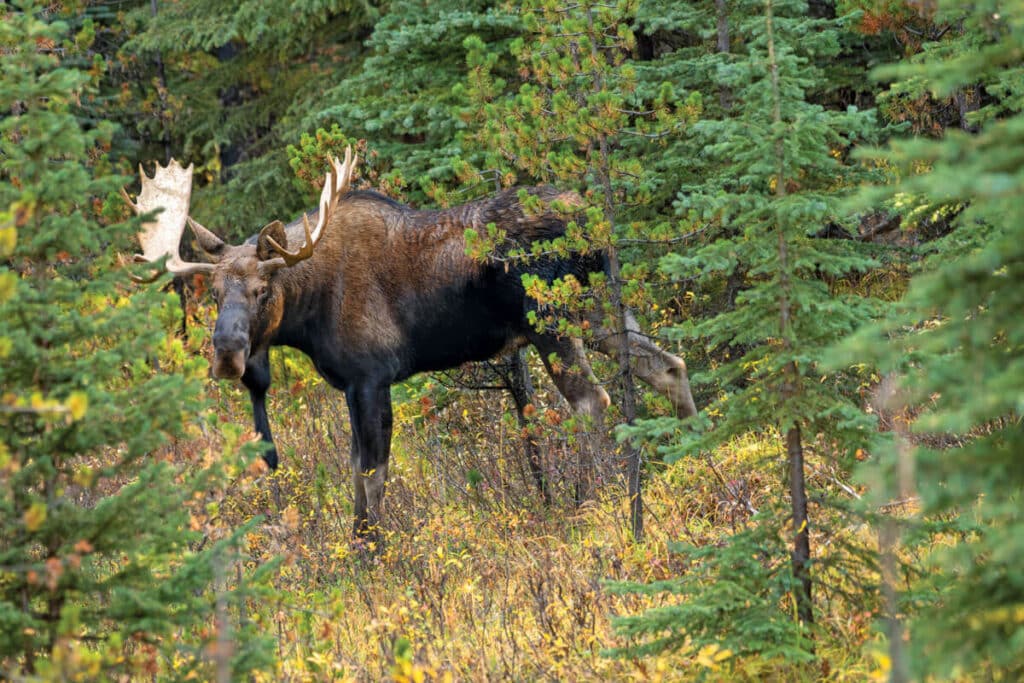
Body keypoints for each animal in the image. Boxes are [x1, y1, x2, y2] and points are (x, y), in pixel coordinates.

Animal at [119, 150, 696, 540]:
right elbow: (355, 470)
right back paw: (698, 449)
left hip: (551, 319)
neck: (308, 312)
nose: (226, 353)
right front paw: (357, 546)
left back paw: (586, 501)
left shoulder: (371, 376)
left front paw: (377, 550)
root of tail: (593, 217)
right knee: (668, 364)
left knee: (591, 400)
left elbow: (372, 473)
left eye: (262, 291)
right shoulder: (351, 385)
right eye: (215, 293)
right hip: (599, 307)